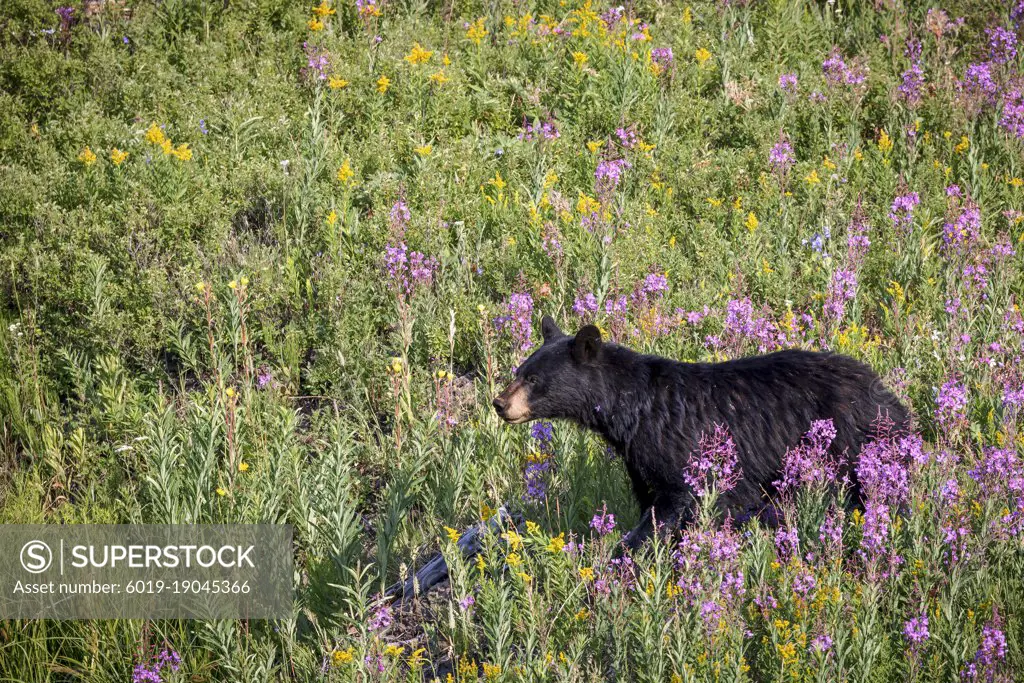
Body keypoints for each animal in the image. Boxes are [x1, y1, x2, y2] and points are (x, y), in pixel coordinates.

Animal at [491, 315, 909, 548]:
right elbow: (651, 498)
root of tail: (883, 390)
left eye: (533, 379)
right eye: (518, 371)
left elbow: (676, 504)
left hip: (854, 440)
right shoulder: (639, 457)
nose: (499, 403)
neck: (633, 409)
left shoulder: (679, 449)